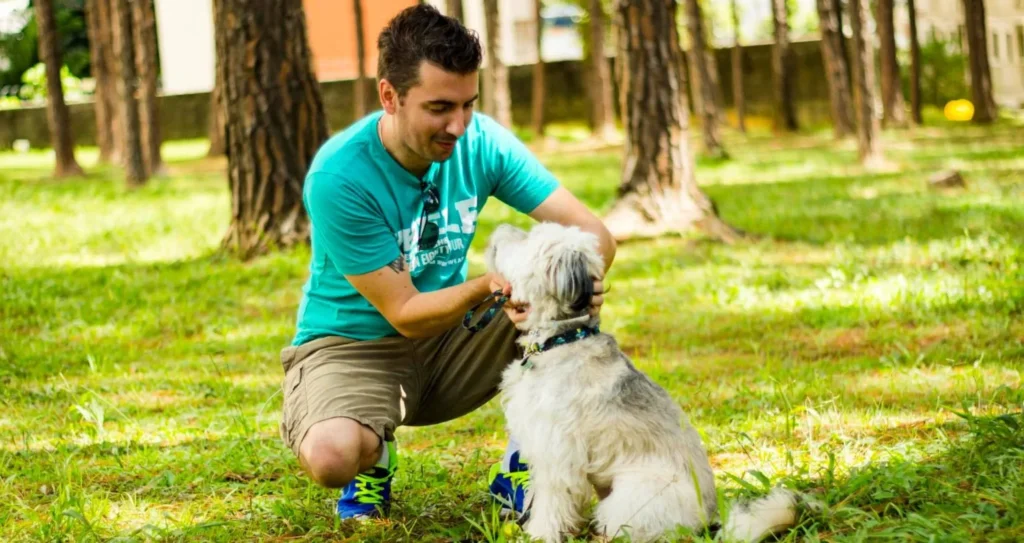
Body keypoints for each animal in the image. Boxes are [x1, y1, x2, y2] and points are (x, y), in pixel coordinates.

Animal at [487, 222, 798, 536]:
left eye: (529, 238)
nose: (502, 226)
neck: (563, 339)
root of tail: (706, 518)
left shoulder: (558, 457)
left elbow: (549, 505)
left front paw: (540, 534)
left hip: (626, 501)